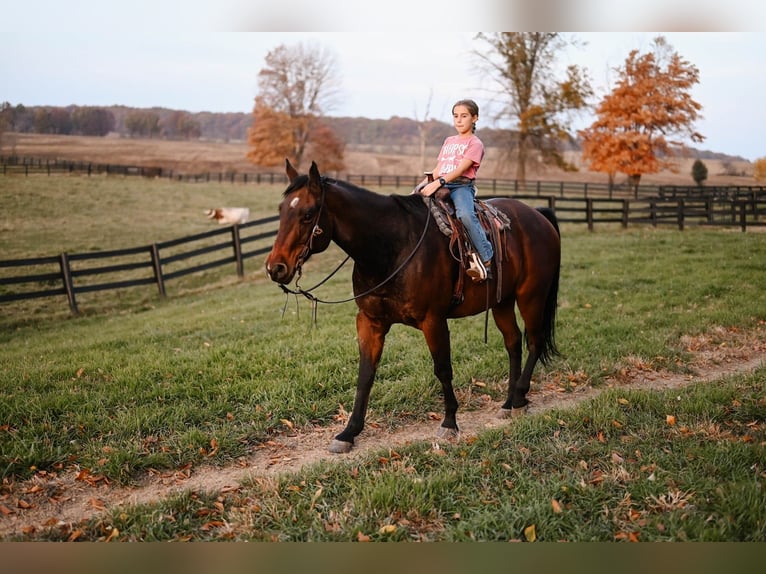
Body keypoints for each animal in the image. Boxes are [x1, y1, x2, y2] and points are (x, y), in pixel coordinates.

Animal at [268, 161, 560, 454]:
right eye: (281, 211)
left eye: (307, 215)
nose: (275, 268)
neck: (391, 247)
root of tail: (538, 215)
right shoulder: (370, 321)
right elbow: (366, 374)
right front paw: (349, 433)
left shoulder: (433, 321)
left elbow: (442, 369)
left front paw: (449, 422)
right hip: (502, 302)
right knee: (513, 343)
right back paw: (510, 403)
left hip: (531, 296)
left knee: (534, 342)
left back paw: (520, 396)